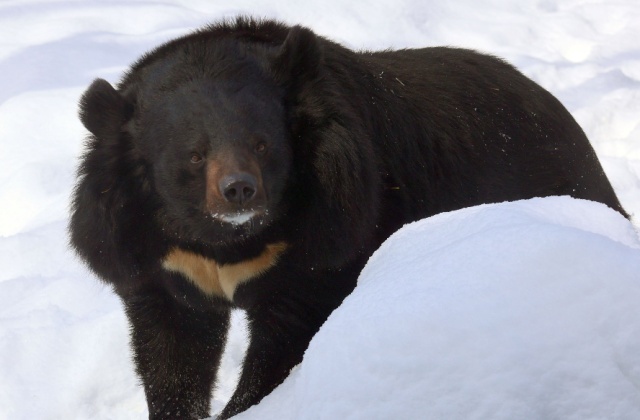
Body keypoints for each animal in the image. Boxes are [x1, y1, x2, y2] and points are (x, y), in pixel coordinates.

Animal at [67, 17, 628, 420]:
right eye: (194, 155)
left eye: (262, 144)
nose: (239, 190)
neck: (230, 241)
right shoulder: (153, 253)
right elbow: (172, 352)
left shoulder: (331, 232)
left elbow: (286, 339)